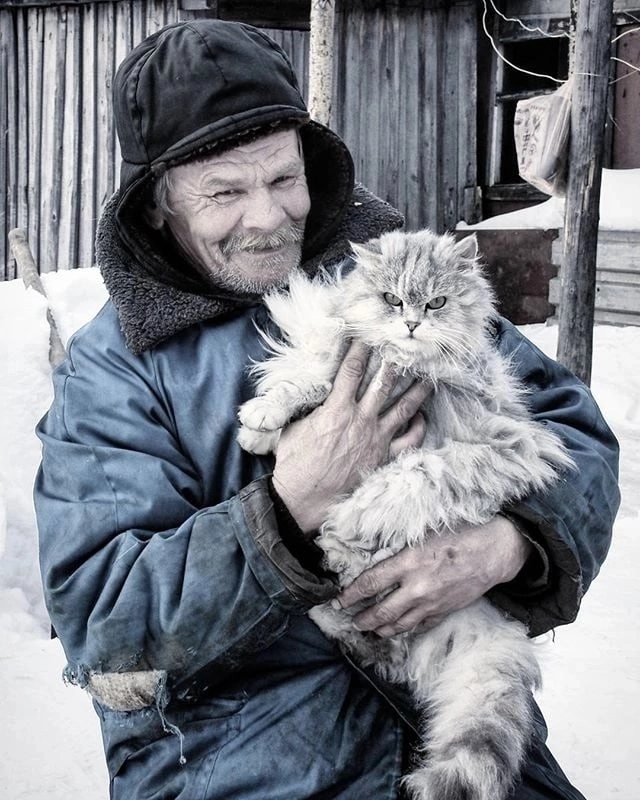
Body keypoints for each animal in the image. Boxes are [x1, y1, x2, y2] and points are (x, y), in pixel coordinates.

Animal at [236, 227, 576, 800]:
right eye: (392, 299)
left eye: (436, 302)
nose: (412, 323)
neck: (402, 366)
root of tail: (489, 630)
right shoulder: (344, 358)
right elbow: (310, 376)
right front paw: (261, 423)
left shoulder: (509, 448)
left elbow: (413, 475)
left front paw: (351, 516)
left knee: (380, 636)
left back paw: (339, 557)